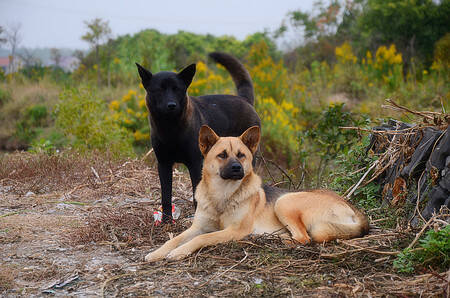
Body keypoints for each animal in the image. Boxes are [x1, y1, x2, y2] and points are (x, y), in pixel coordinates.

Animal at [136, 52, 260, 222]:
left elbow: (196, 195)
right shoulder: (163, 164)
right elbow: (165, 196)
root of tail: (244, 100)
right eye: (158, 90)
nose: (171, 105)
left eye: (177, 89)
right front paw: (166, 221)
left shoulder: (195, 164)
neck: (171, 130)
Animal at [144, 125, 370, 260]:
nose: (237, 168)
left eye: (241, 155)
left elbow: (201, 239)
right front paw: (157, 253)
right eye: (222, 155)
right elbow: (174, 239)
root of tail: (355, 210)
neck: (222, 195)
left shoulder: (232, 230)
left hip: (284, 201)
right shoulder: (197, 227)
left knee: (303, 238)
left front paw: (178, 252)